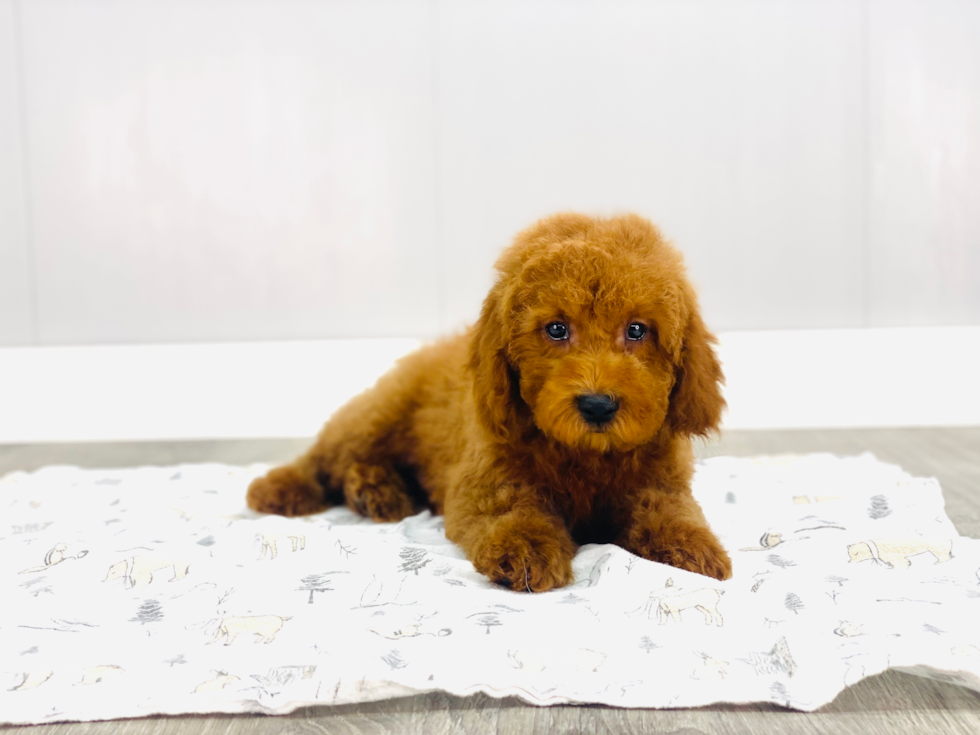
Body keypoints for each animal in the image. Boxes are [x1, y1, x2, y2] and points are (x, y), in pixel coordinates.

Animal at [249, 210, 732, 588]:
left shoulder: (660, 480)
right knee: (326, 455)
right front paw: (526, 549)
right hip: (377, 418)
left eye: (637, 330)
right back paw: (283, 488)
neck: (585, 454)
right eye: (556, 329)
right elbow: (511, 509)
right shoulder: (484, 479)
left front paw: (695, 549)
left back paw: (377, 491)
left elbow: (671, 510)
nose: (598, 405)